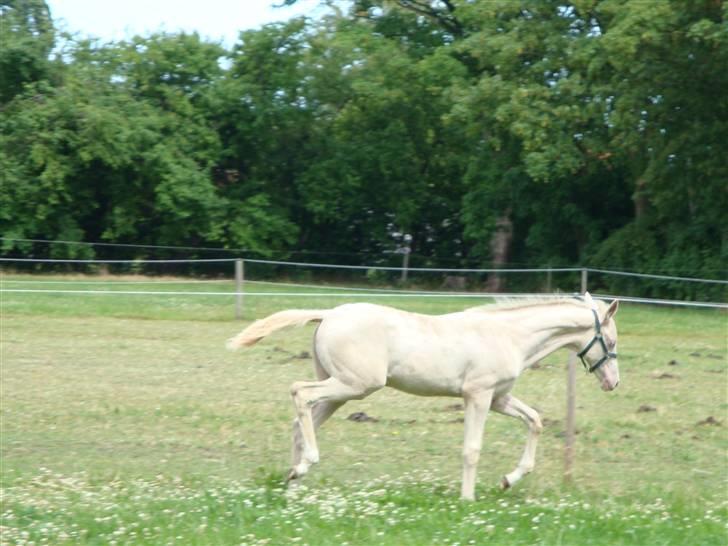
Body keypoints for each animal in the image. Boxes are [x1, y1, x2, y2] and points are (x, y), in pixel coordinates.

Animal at [229, 292, 620, 500]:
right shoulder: (478, 396)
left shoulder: (499, 399)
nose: (613, 383)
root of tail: (329, 314)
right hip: (356, 385)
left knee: (302, 420)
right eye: (611, 341)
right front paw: (468, 499)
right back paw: (304, 465)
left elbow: (535, 421)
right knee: (299, 393)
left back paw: (294, 481)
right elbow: (471, 449)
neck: (509, 336)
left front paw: (509, 479)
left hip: (342, 390)